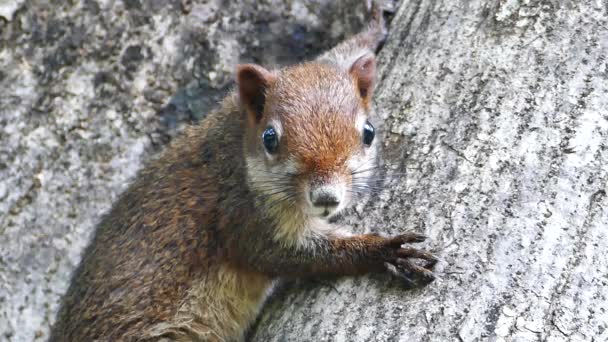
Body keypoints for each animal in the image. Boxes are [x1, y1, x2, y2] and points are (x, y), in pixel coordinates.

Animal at [47, 3, 436, 342]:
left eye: (368, 133)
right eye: (270, 139)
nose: (326, 197)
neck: (235, 146)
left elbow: (332, 56)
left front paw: (373, 28)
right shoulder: (240, 215)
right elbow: (283, 253)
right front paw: (382, 250)